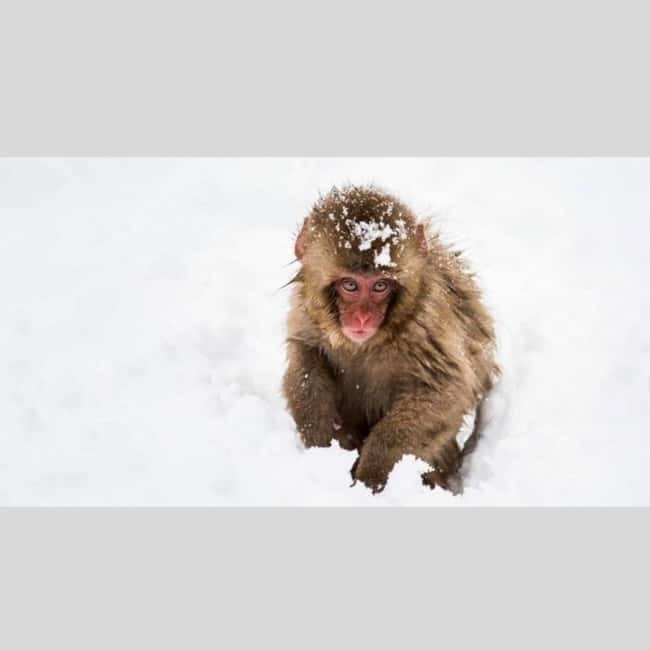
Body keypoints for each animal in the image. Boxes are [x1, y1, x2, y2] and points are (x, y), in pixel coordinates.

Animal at [282, 185, 498, 494]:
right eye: (350, 285)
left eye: (380, 285)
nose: (362, 318)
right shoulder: (308, 316)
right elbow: (307, 360)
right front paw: (319, 444)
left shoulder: (427, 325)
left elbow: (444, 390)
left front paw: (371, 473)